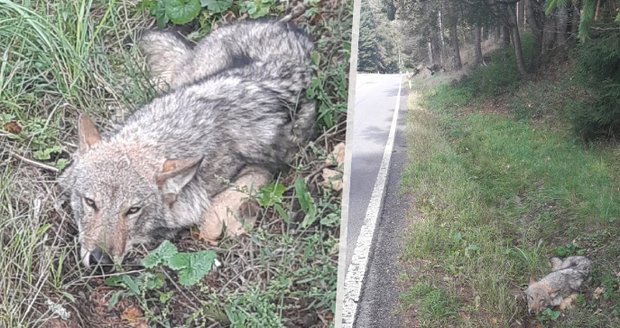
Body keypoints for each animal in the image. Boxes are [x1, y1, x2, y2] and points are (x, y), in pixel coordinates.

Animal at [58, 19, 314, 268]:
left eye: (132, 210)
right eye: (90, 202)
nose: (101, 261)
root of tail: (287, 27)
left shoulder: (261, 167)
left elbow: (210, 219)